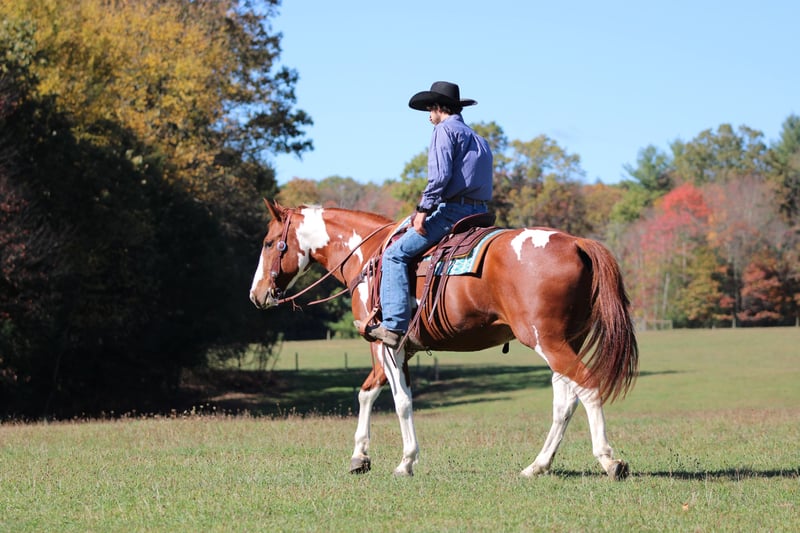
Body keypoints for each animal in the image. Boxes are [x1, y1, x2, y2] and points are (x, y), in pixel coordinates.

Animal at [249, 200, 638, 479]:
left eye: (269, 243)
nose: (256, 295)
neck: (369, 256)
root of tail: (576, 242)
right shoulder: (394, 348)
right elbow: (367, 393)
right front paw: (360, 456)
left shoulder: (386, 345)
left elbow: (401, 402)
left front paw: (405, 462)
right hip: (564, 342)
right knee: (565, 401)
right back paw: (537, 466)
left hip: (548, 342)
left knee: (587, 387)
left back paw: (609, 461)